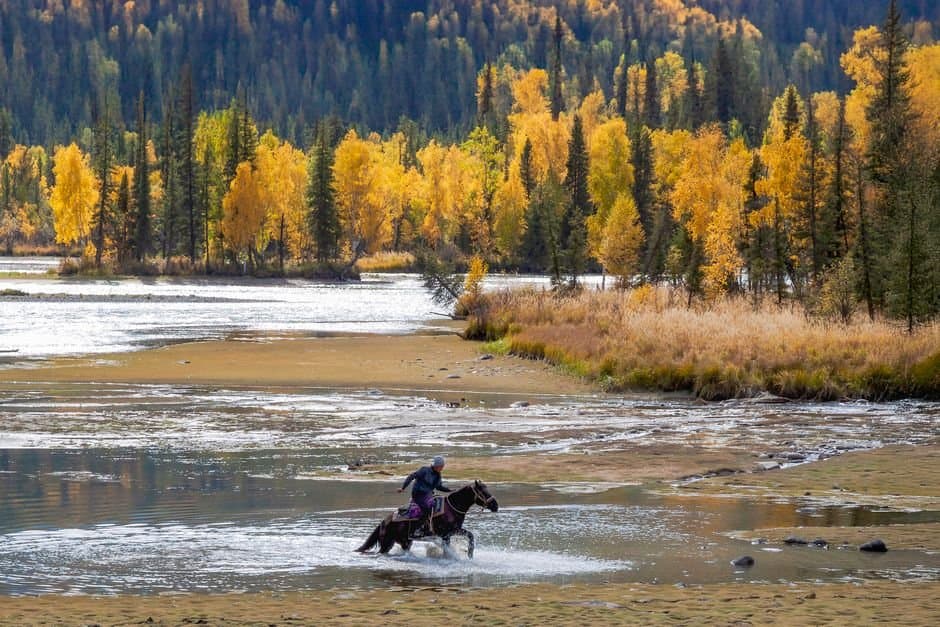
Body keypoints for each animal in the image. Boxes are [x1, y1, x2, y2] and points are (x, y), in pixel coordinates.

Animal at [355, 480, 498, 558]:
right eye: (483, 491)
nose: (495, 505)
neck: (452, 507)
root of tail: (384, 522)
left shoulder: (454, 531)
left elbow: (470, 535)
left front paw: (470, 554)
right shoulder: (446, 533)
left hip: (405, 542)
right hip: (387, 543)